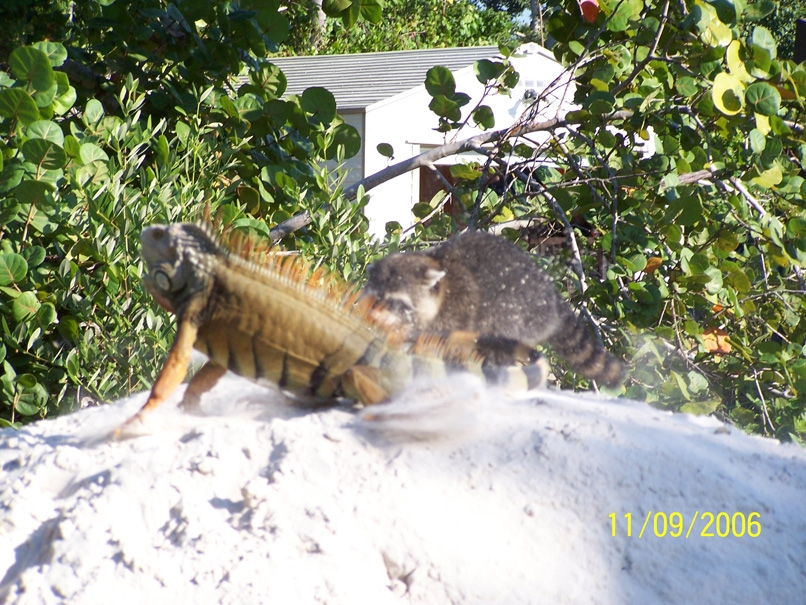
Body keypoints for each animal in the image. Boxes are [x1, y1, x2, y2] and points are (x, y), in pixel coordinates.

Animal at [362, 231, 623, 387]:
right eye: (374, 299)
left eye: (396, 303)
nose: (374, 317)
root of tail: (550, 295)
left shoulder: (456, 312)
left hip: (515, 314)